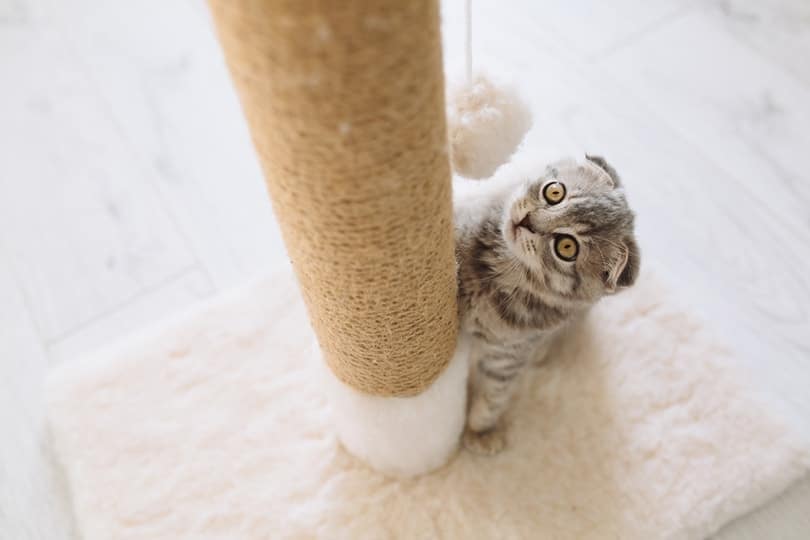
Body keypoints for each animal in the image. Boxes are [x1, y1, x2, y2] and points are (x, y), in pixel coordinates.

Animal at [454, 156, 636, 456]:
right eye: (554, 192)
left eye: (566, 247)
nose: (527, 221)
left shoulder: (508, 353)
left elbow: (494, 394)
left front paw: (480, 430)